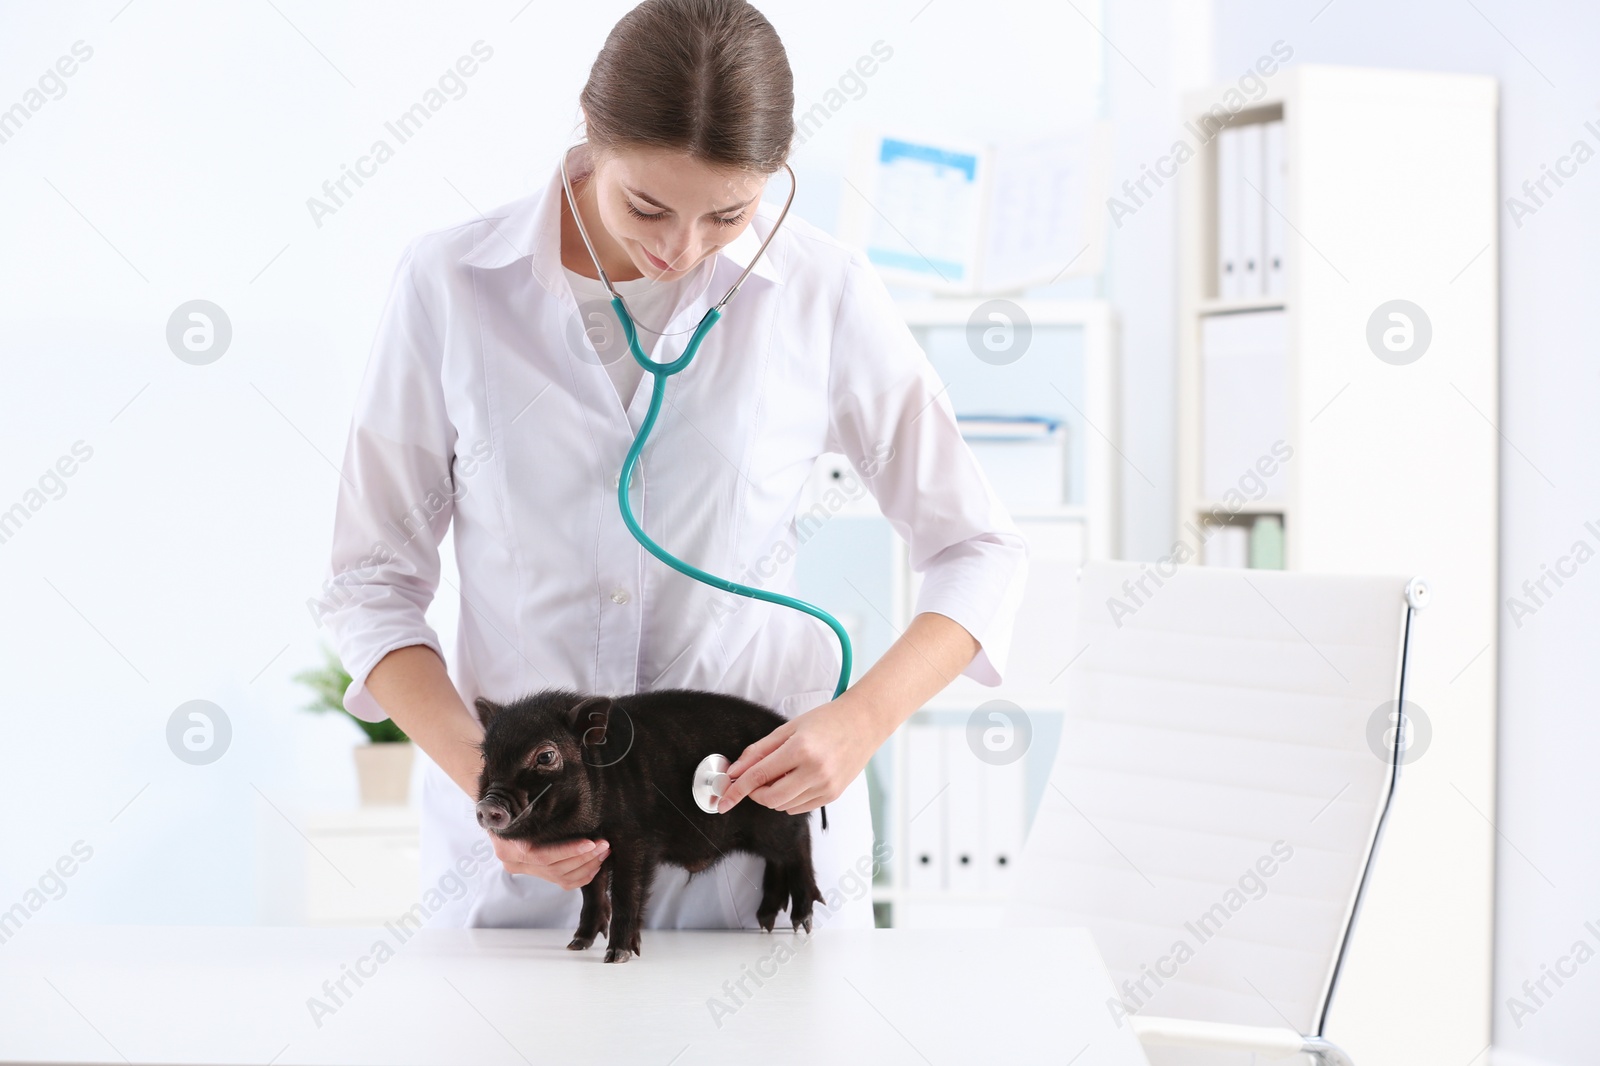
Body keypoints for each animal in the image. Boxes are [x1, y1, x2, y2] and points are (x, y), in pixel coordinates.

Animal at [470, 685, 825, 960]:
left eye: (545, 756)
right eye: (486, 758)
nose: (489, 805)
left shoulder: (635, 840)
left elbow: (626, 892)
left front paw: (617, 957)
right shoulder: (591, 849)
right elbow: (591, 890)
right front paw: (577, 945)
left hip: (776, 816)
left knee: (799, 844)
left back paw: (802, 923)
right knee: (777, 860)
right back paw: (766, 922)